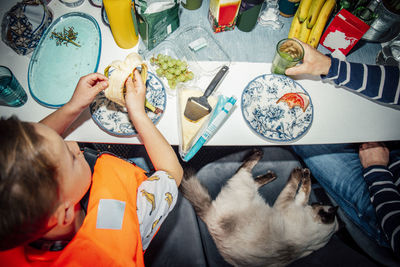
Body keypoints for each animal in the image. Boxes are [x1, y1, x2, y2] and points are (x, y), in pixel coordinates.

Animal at [180, 150, 340, 266]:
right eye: (319, 203)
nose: (314, 203)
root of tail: (209, 216)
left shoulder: (287, 202)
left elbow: (296, 186)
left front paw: (299, 172)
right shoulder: (296, 202)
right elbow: (305, 189)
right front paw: (305, 172)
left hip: (245, 187)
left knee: (244, 171)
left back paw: (263, 159)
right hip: (248, 188)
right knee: (250, 176)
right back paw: (269, 171)